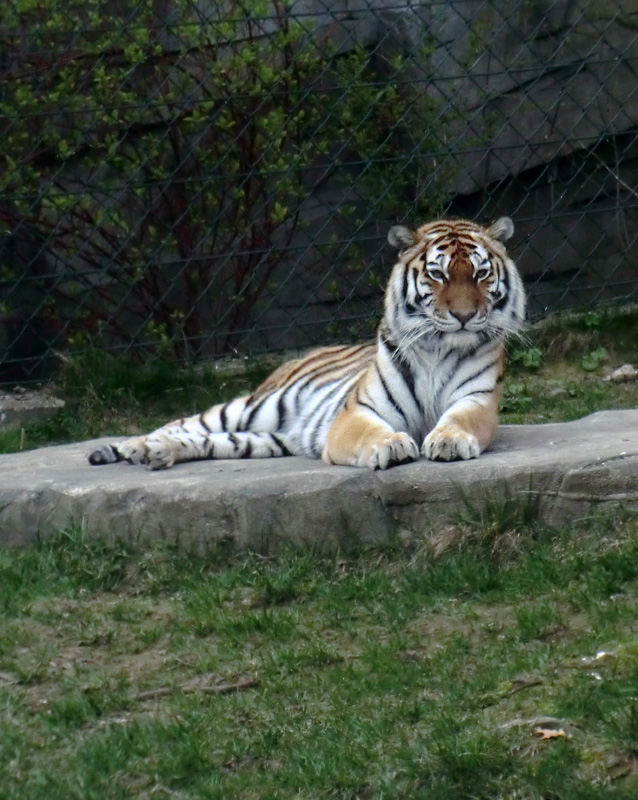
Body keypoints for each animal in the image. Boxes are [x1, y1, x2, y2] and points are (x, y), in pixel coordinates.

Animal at [90, 216, 528, 472]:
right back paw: (137, 446)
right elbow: (372, 432)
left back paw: (160, 453)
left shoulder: (477, 400)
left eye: (481, 274)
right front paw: (391, 445)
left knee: (206, 440)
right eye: (438, 274)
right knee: (183, 422)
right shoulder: (358, 412)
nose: (464, 316)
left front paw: (449, 440)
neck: (439, 347)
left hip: (261, 439)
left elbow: (460, 420)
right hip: (251, 407)